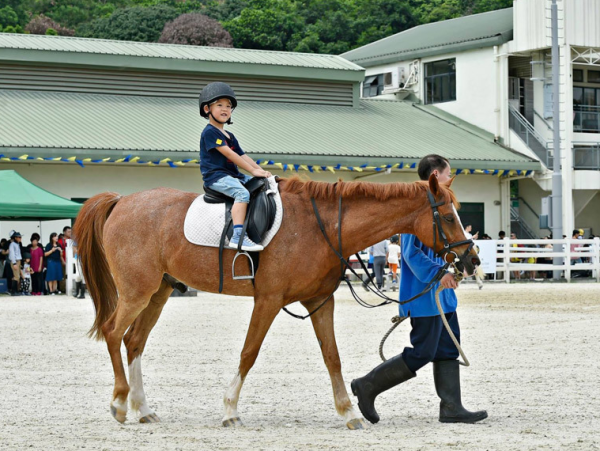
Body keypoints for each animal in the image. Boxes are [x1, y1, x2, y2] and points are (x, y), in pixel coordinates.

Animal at [74, 174, 478, 430]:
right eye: (446, 216)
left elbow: (332, 356)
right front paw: (230, 410)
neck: (321, 226)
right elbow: (248, 353)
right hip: (136, 292)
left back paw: (142, 409)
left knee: (133, 341)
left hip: (157, 293)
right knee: (113, 332)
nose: (471, 259)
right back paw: (119, 403)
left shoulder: (320, 301)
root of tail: (122, 201)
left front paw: (348, 412)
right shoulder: (267, 301)